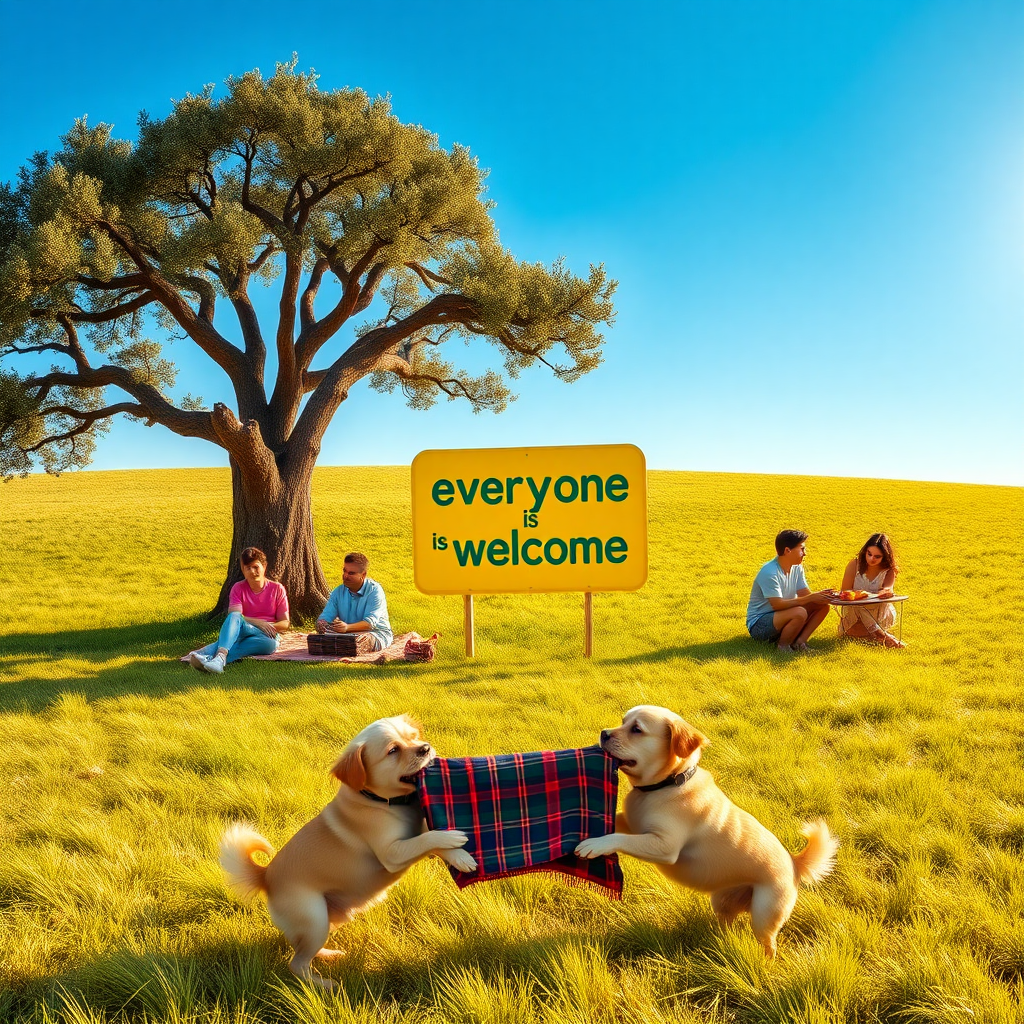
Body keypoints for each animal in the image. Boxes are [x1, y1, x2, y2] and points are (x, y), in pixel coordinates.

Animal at [220, 716, 475, 987]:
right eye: (393, 751)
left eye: (414, 737)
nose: (425, 748)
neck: (387, 803)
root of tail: (265, 875)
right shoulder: (393, 854)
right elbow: (429, 839)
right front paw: (452, 838)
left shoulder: (414, 836)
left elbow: (433, 841)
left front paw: (461, 857)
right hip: (315, 920)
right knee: (297, 964)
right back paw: (325, 985)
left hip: (326, 922)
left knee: (301, 950)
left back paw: (328, 955)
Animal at [573, 708, 835, 954]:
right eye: (623, 721)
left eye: (636, 729)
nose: (604, 733)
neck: (666, 785)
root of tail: (795, 862)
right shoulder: (630, 823)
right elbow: (616, 826)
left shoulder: (664, 846)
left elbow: (619, 838)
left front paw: (595, 844)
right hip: (722, 902)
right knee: (727, 926)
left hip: (764, 916)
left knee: (769, 946)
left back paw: (764, 965)